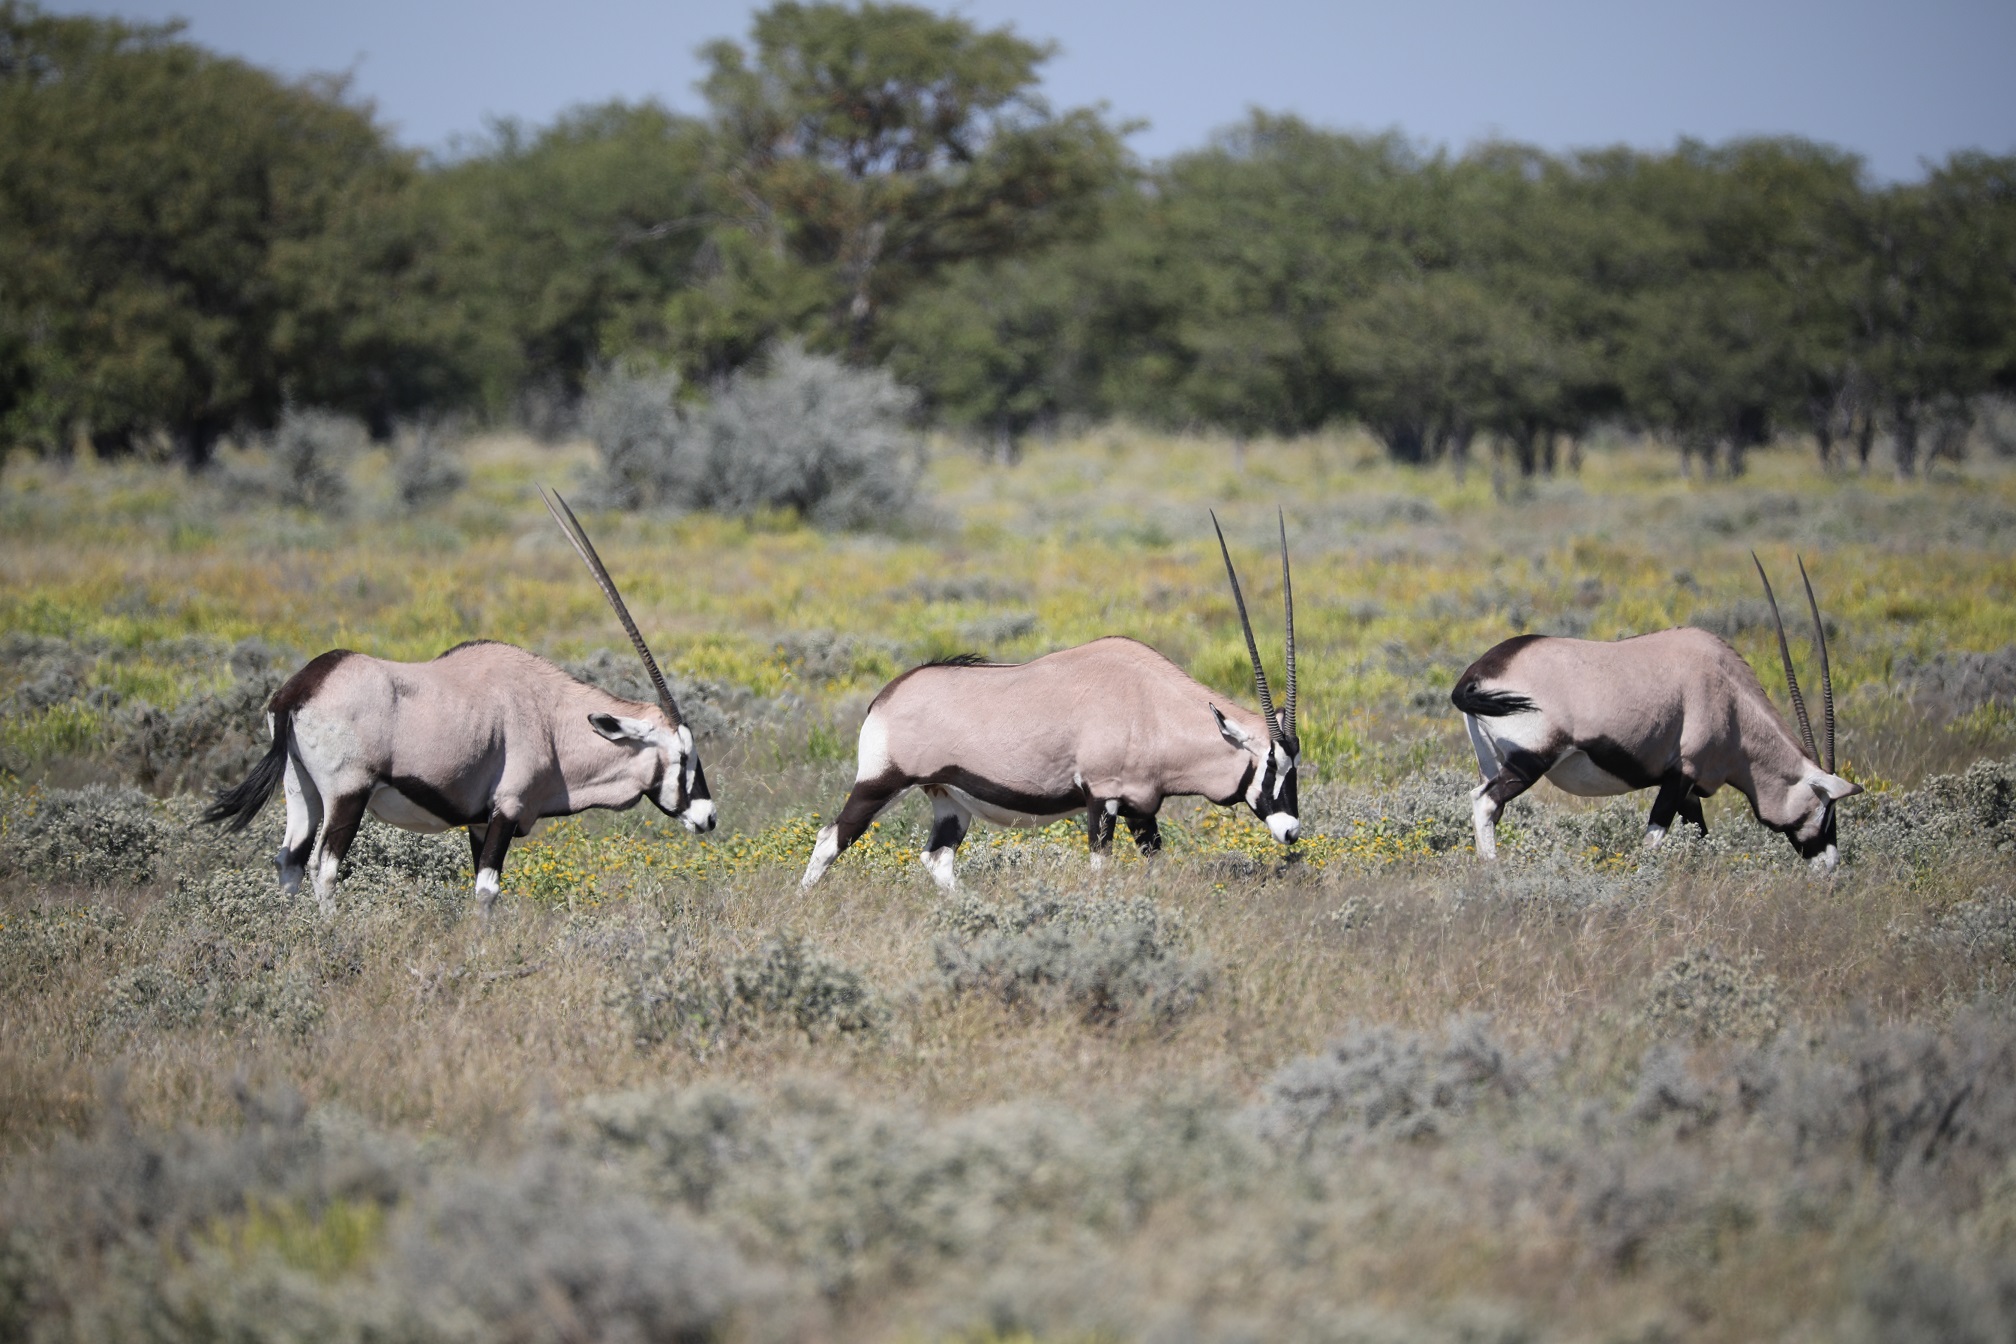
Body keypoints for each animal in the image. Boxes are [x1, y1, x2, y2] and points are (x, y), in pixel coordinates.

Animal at [202, 489, 717, 918]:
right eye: (684, 755)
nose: (709, 816)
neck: (552, 719)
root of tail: (300, 688)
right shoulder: (507, 808)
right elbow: (487, 890)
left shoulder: (479, 823)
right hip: (346, 794)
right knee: (322, 868)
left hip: (300, 790)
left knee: (288, 861)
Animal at [794, 519, 1298, 894]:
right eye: (1271, 765)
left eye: (1297, 767)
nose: (1293, 831)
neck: (1151, 707)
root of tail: (886, 695)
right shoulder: (1102, 799)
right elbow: (1100, 868)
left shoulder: (1142, 807)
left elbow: (1154, 862)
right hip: (879, 783)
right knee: (831, 838)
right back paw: (803, 901)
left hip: (949, 800)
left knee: (937, 857)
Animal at [1451, 548, 1854, 874]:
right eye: (1826, 809)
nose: (1830, 864)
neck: (1732, 702)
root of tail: (1478, 673)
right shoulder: (1681, 774)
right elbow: (1653, 839)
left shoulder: (1688, 788)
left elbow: (1699, 834)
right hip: (1531, 759)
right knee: (1485, 802)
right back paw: (1493, 869)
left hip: (1492, 760)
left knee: (1491, 808)